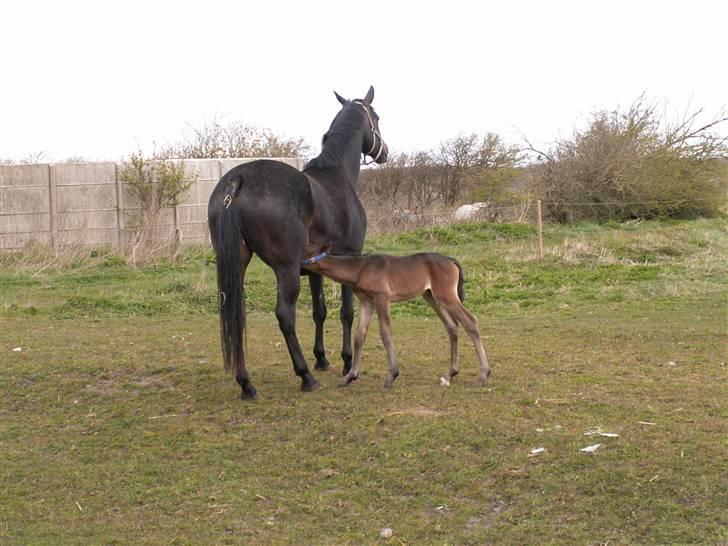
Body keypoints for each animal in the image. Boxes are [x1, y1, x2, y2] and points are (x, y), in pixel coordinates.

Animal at [206, 87, 386, 398]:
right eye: (376, 117)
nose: (385, 152)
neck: (337, 176)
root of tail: (238, 178)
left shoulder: (316, 268)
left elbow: (319, 311)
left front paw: (322, 359)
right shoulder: (350, 257)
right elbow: (346, 313)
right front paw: (346, 361)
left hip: (236, 265)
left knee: (236, 315)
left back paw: (246, 383)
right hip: (286, 270)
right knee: (285, 316)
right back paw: (304, 376)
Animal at [302, 246, 490, 386]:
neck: (361, 268)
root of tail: (451, 260)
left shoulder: (382, 298)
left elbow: (385, 333)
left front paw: (392, 375)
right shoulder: (367, 302)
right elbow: (359, 336)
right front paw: (349, 377)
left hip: (447, 297)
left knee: (470, 321)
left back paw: (483, 374)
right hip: (432, 297)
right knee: (452, 326)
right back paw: (450, 374)